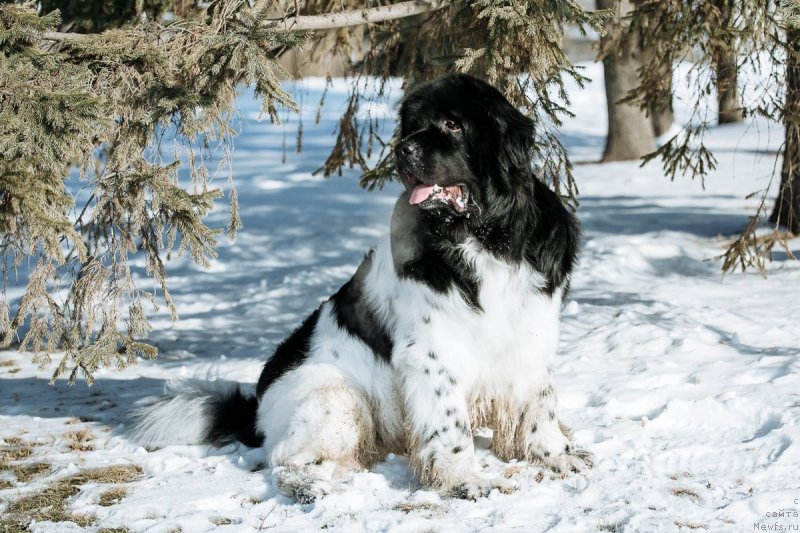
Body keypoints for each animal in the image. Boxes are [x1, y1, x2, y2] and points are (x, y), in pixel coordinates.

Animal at [131, 72, 592, 500]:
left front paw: (555, 454)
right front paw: (464, 479)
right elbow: (450, 424)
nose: (402, 150)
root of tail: (257, 406)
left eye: (452, 124)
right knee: (287, 458)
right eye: (412, 127)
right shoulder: (431, 352)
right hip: (335, 396)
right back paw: (314, 486)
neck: (487, 237)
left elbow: (540, 401)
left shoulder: (529, 328)